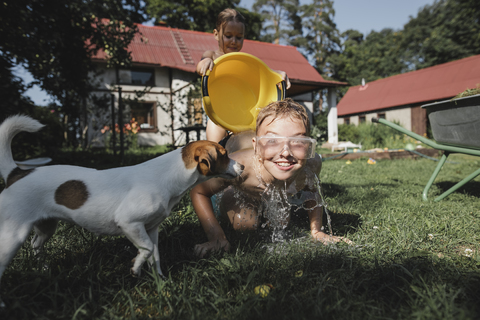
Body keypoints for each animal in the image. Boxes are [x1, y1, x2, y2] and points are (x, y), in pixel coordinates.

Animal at [0, 115, 242, 308]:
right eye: (224, 154)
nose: (243, 167)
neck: (168, 176)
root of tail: (17, 173)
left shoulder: (151, 229)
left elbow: (155, 255)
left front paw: (160, 282)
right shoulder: (129, 223)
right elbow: (145, 249)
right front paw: (135, 268)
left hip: (46, 226)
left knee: (36, 244)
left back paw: (43, 268)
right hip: (13, 235)